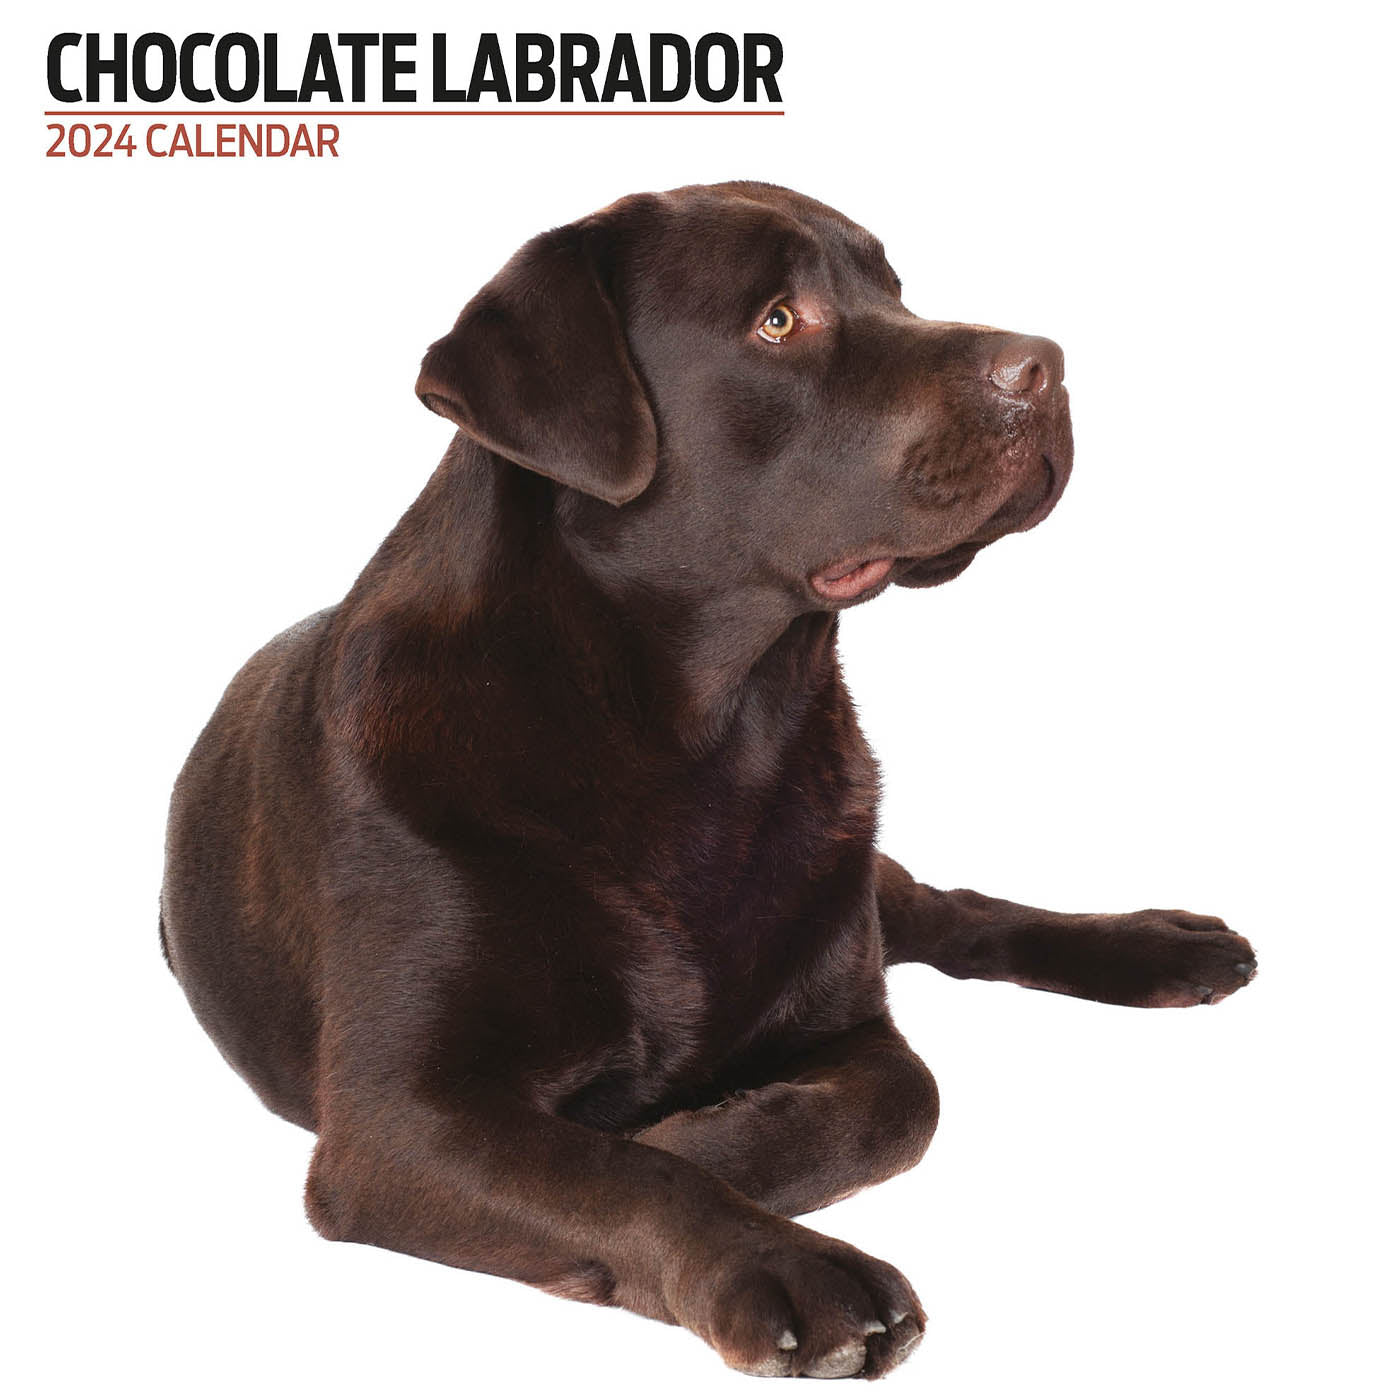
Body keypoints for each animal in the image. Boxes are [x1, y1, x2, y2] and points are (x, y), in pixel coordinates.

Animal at [161, 181, 1256, 1379]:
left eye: (895, 289)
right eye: (778, 321)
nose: (1046, 365)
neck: (707, 731)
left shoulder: (851, 1018)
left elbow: (898, 1096)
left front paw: (701, 1128)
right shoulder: (395, 1115)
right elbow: (619, 1166)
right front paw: (782, 1259)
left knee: (946, 909)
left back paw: (1161, 943)